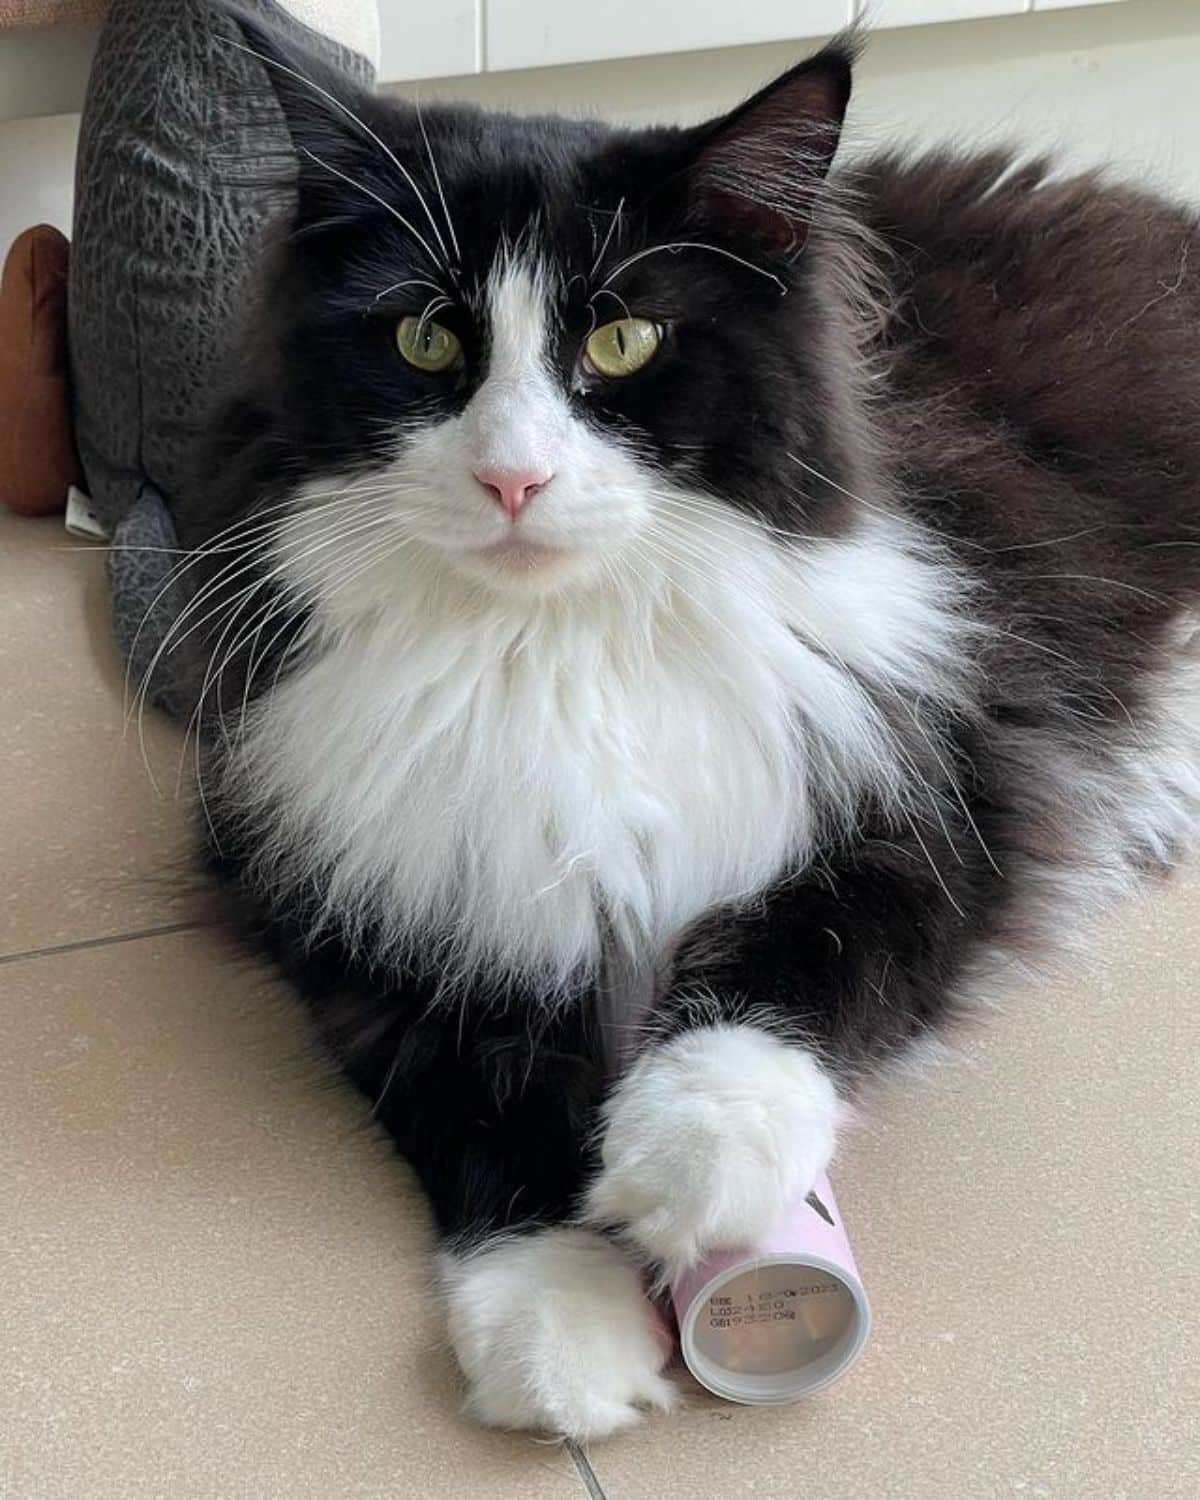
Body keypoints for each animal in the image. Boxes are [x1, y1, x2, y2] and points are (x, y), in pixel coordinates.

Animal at [164, 8, 1200, 1440]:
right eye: (426, 341)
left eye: (623, 344)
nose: (514, 478)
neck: (549, 650)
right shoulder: (336, 867)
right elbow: (471, 1090)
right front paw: (563, 1321)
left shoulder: (962, 774)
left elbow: (802, 954)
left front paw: (690, 1162)